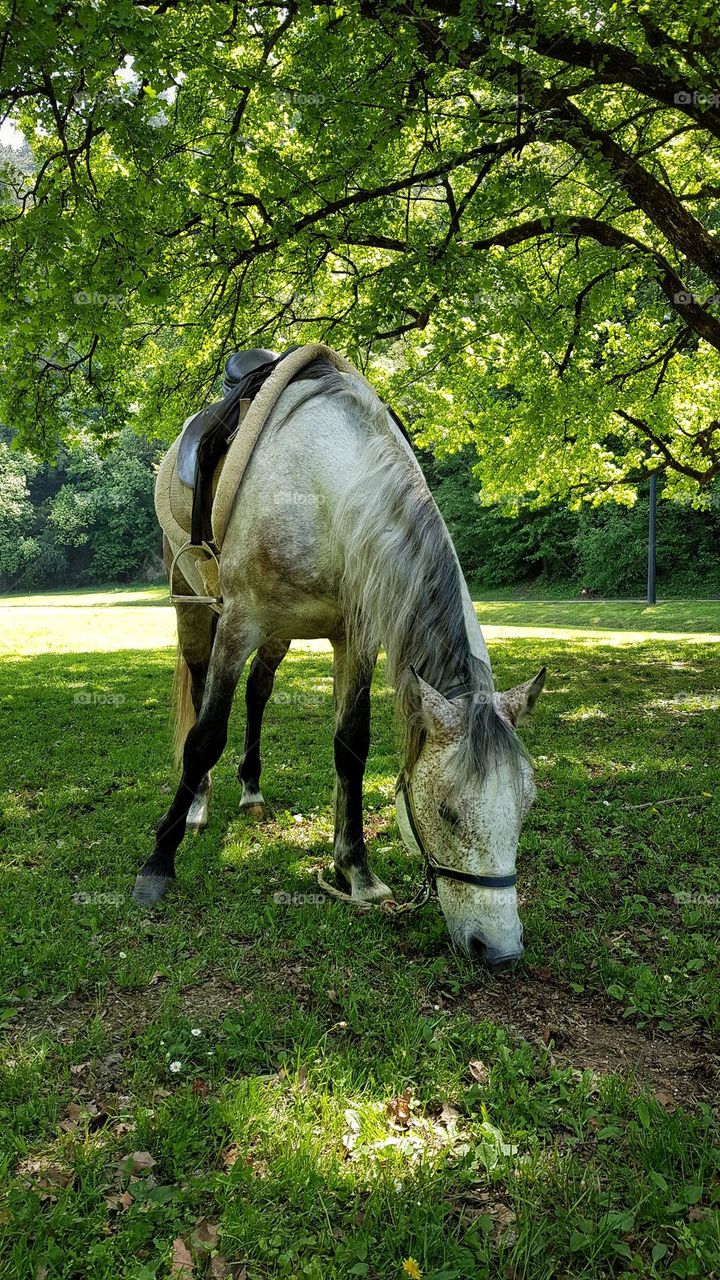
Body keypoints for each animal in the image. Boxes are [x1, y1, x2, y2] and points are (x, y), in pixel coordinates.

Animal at [133, 356, 546, 968]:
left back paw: (251, 791)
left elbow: (351, 747)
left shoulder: (355, 638)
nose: (500, 950)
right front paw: (158, 863)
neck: (322, 486)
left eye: (525, 805)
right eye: (446, 811)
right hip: (193, 603)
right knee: (203, 689)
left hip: (278, 635)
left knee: (259, 692)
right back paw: (198, 804)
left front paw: (356, 870)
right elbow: (205, 737)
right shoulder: (238, 621)